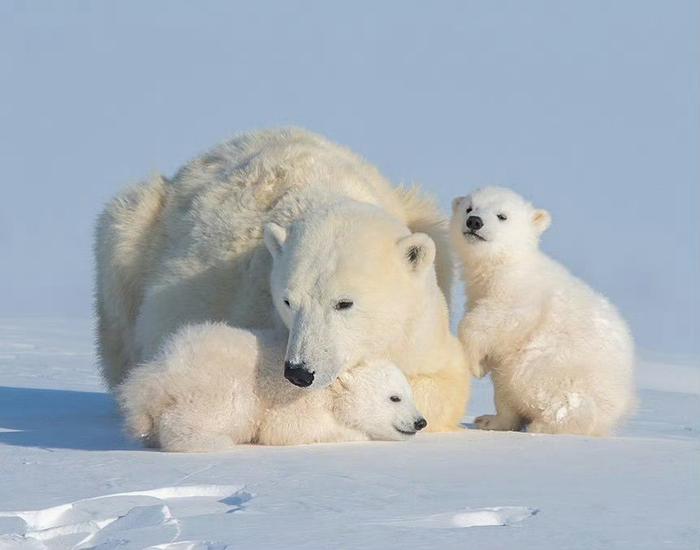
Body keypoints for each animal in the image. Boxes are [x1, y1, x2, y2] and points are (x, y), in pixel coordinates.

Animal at [97, 130, 470, 436]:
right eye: (289, 301)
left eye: (344, 302)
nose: (299, 372)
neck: (323, 191)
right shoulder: (245, 300)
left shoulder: (419, 327)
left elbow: (445, 380)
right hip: (138, 233)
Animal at [116, 324, 426, 452]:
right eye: (394, 398)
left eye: (410, 395)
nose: (420, 421)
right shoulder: (293, 401)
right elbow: (286, 430)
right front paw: (355, 433)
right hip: (220, 387)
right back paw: (211, 441)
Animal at [452, 188, 636, 438]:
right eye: (469, 208)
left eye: (502, 216)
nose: (474, 222)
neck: (503, 265)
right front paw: (482, 365)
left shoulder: (520, 292)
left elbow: (496, 320)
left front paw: (474, 364)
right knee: (506, 390)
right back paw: (489, 420)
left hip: (566, 375)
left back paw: (544, 425)